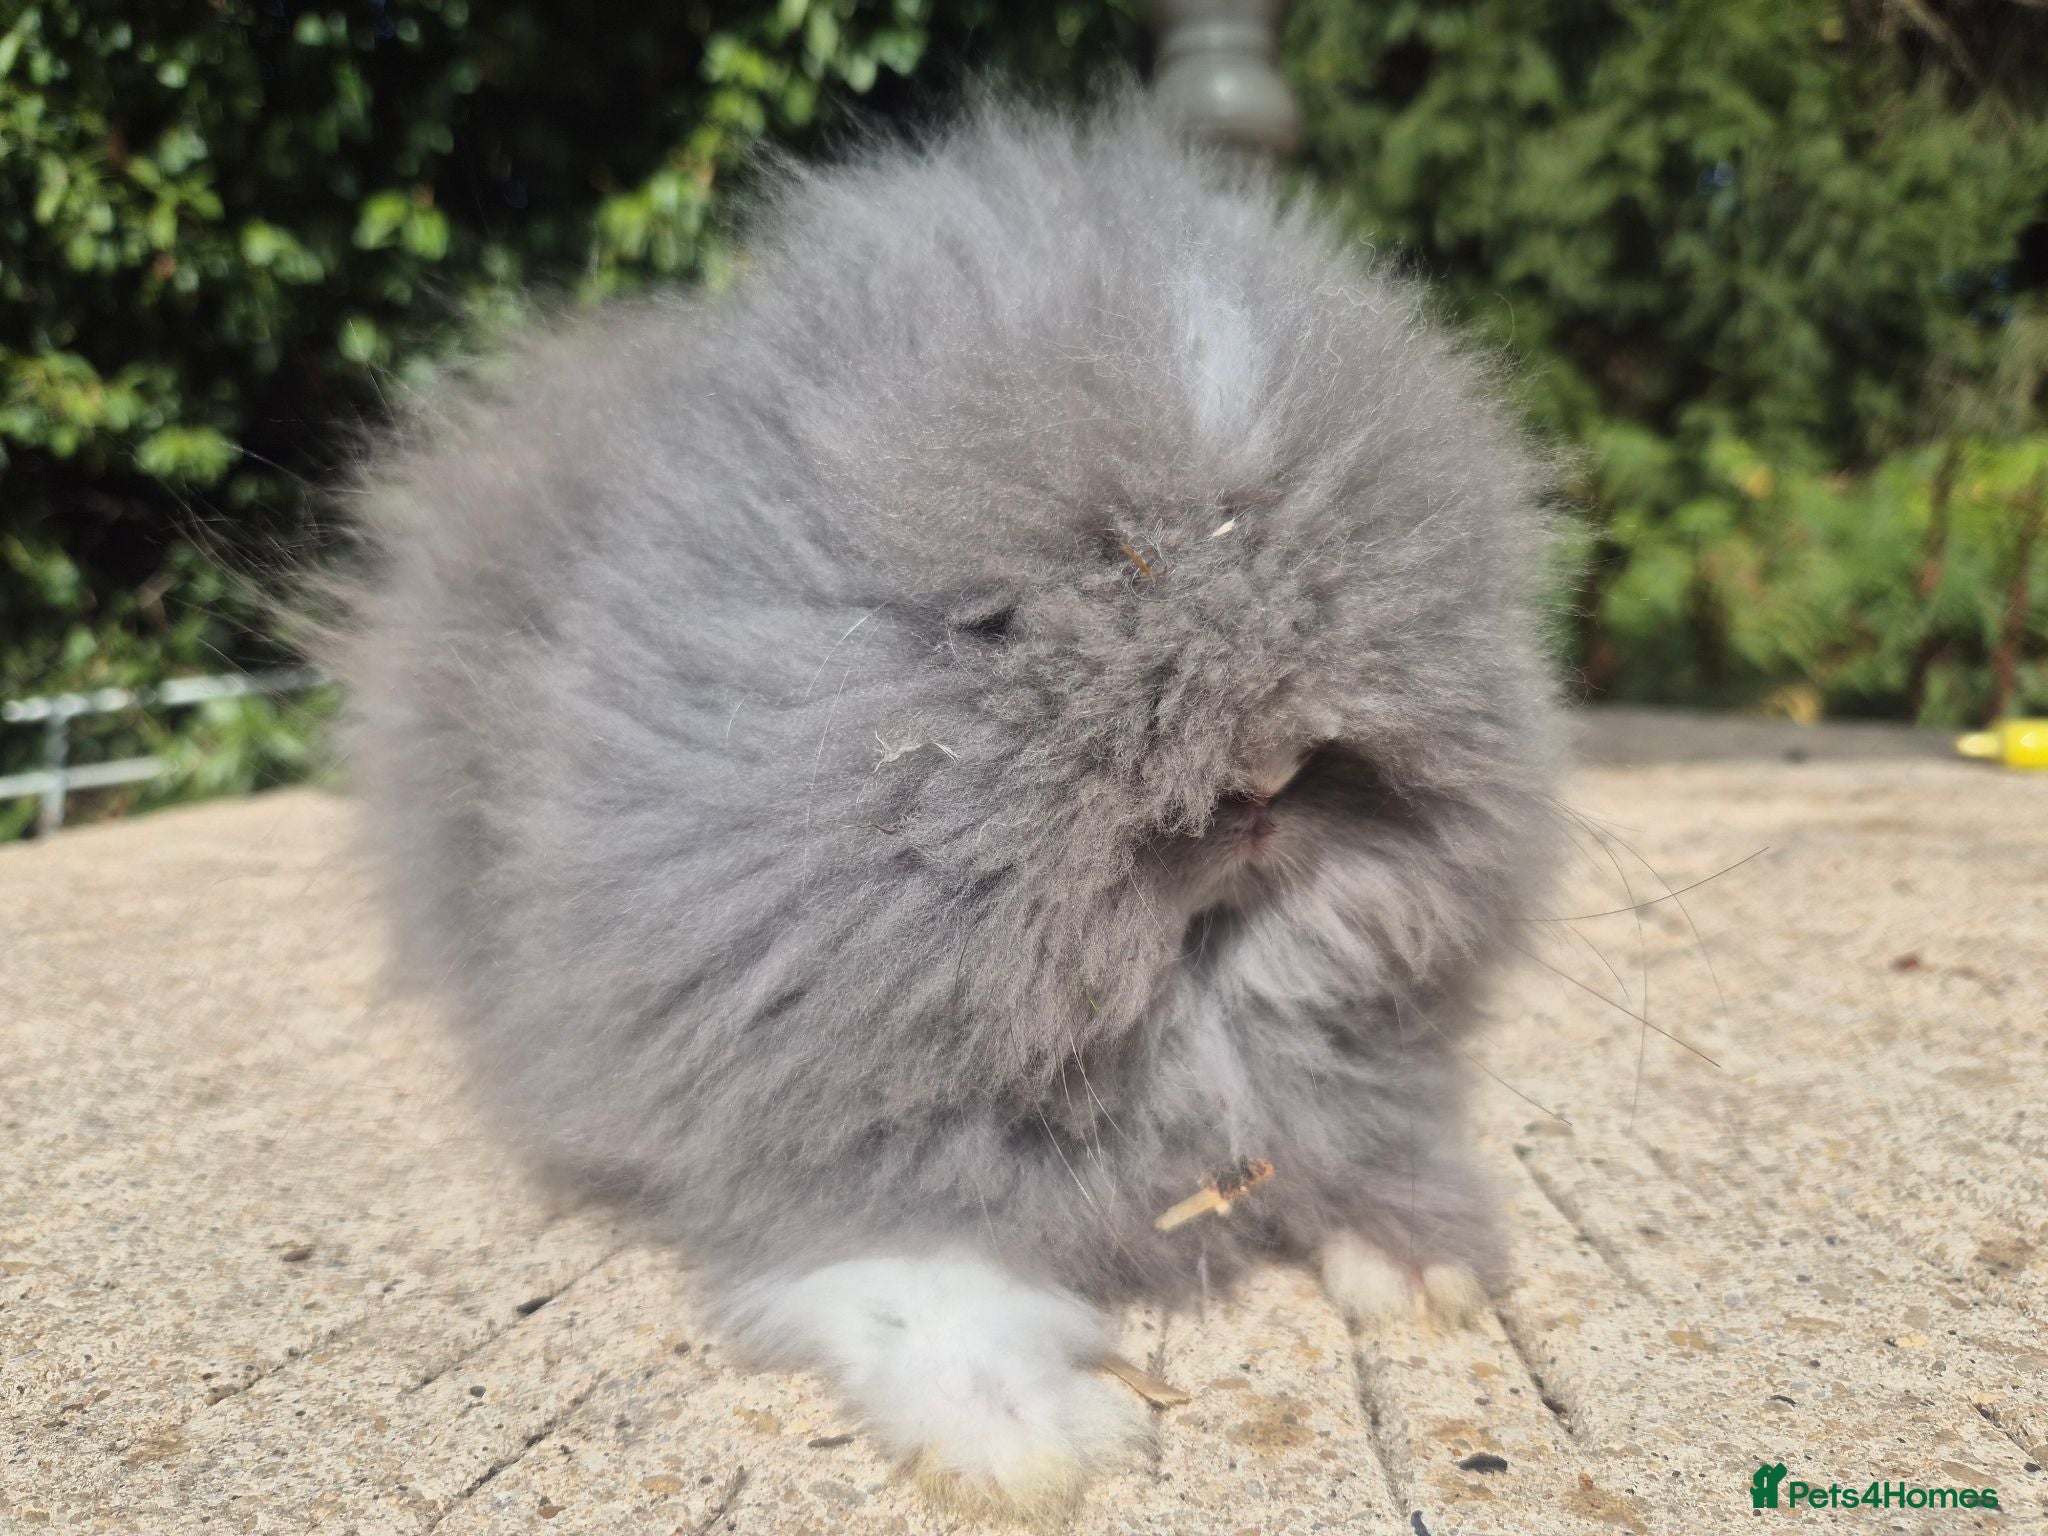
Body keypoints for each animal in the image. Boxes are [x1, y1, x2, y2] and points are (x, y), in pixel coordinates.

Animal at [335, 98, 1563, 1517]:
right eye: (993, 624)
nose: (1265, 782)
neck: (1188, 994)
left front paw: (1424, 1273)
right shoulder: (814, 1138)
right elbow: (919, 1284)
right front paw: (1040, 1440)